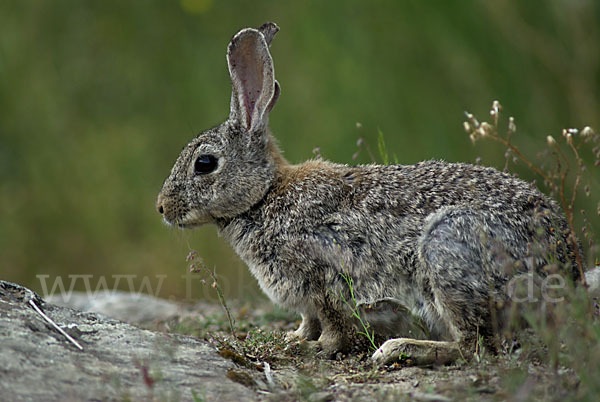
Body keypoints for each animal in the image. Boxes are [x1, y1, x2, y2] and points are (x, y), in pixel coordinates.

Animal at [155, 22, 592, 364]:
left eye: (204, 164)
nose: (162, 208)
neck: (264, 196)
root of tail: (565, 273)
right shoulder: (309, 299)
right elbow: (307, 320)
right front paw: (293, 338)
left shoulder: (325, 279)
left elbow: (332, 326)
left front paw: (313, 349)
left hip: (448, 253)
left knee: (475, 347)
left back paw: (400, 349)